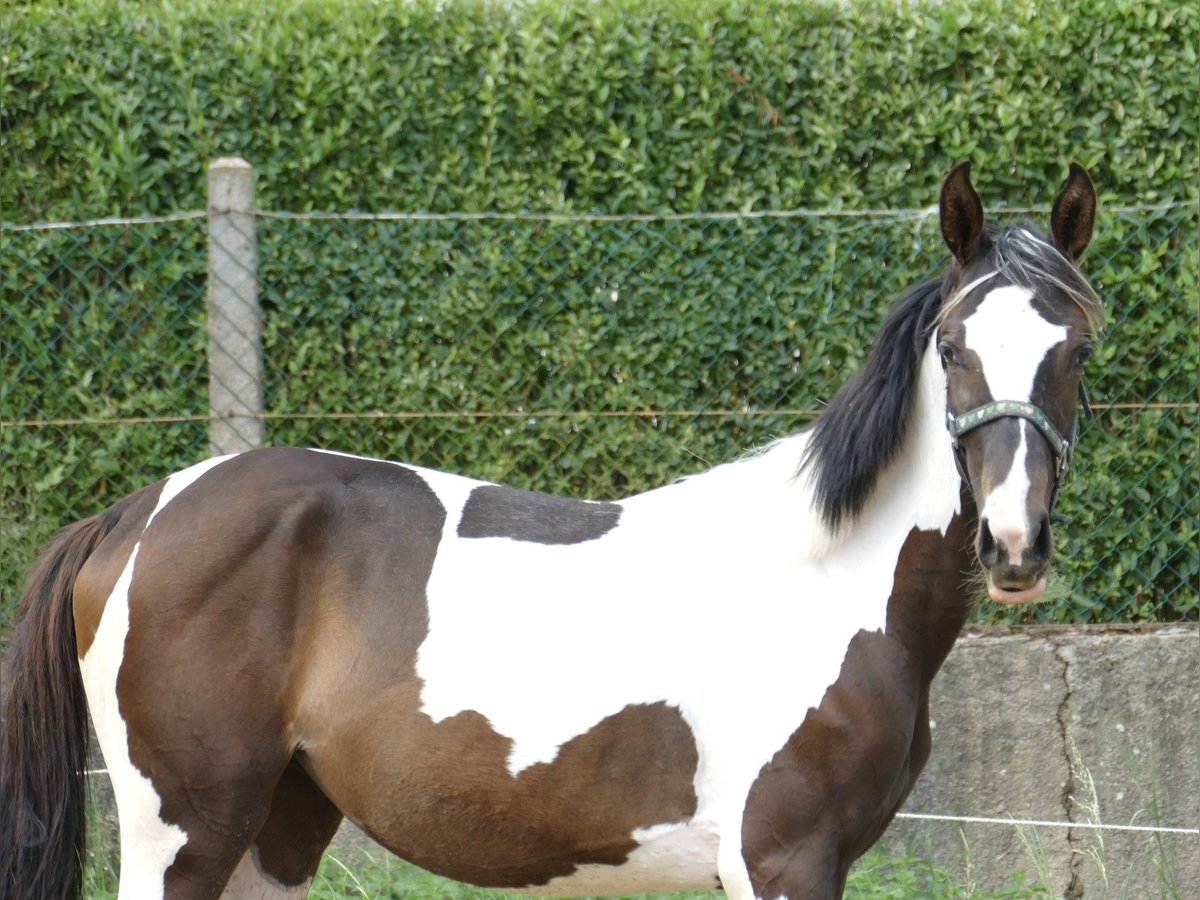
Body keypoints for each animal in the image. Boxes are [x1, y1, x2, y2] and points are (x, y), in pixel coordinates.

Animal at [2, 164, 1099, 900]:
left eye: (1077, 348)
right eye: (952, 347)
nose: (1013, 545)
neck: (833, 582)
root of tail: (132, 515)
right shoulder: (781, 858)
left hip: (273, 830)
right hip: (183, 834)